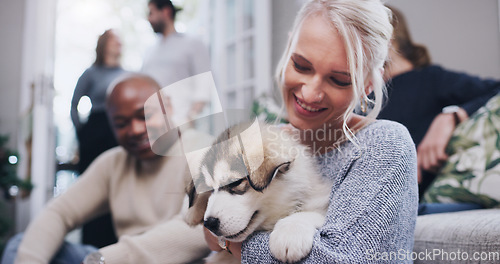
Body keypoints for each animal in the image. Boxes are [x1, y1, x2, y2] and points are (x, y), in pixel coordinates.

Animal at [186, 122, 330, 264]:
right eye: (210, 189)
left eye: (236, 182)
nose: (209, 224)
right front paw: (193, 211)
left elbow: (308, 213)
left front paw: (289, 234)